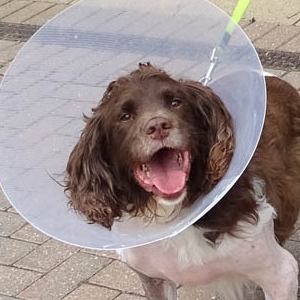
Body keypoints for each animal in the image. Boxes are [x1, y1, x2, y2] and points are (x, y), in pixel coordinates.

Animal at [64, 62, 298, 298]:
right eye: (125, 116)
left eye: (176, 102)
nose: (158, 125)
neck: (174, 212)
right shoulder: (152, 278)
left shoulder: (279, 273)